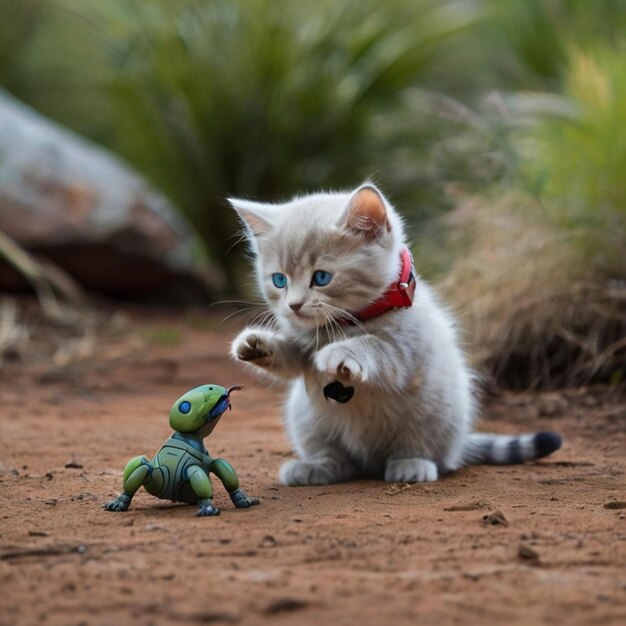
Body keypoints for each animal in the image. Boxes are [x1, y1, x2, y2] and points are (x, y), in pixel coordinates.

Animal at [227, 183, 560, 486]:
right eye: (279, 280)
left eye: (321, 277)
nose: (294, 305)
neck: (344, 323)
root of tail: (371, 461)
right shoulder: (303, 351)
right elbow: (291, 360)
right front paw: (256, 344)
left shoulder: (409, 351)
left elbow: (375, 347)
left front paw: (342, 351)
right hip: (307, 417)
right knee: (341, 461)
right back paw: (316, 467)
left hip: (437, 412)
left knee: (428, 452)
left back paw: (412, 465)